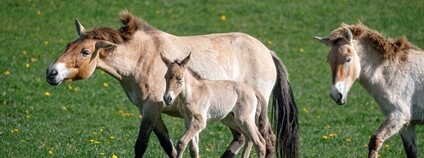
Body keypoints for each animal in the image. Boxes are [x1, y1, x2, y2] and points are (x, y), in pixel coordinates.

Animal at [46, 10, 298, 157]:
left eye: (85, 52)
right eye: (68, 45)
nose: (51, 72)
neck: (142, 57)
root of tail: (267, 51)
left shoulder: (152, 108)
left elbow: (141, 144)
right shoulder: (150, 110)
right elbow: (167, 144)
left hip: (252, 114)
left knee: (266, 139)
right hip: (231, 115)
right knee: (242, 139)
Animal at [314, 23, 424, 158]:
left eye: (348, 59)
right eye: (328, 60)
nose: (336, 95)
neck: (395, 73)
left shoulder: (397, 116)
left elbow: (375, 140)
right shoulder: (407, 124)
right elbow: (411, 151)